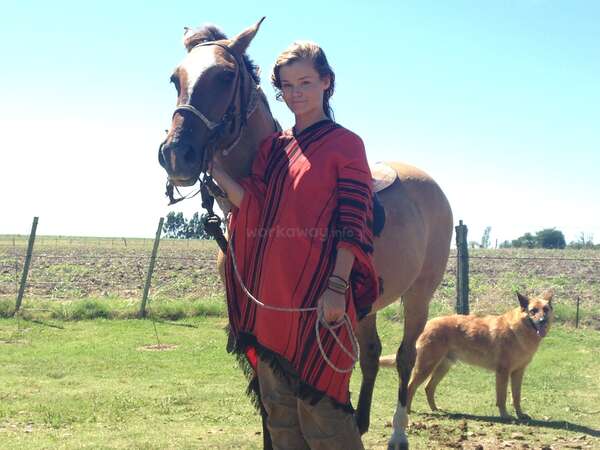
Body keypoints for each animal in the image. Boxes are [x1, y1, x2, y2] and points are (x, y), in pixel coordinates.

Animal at [157, 18, 452, 450]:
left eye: (225, 76)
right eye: (175, 78)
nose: (177, 154)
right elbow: (266, 393)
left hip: (418, 296)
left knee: (403, 358)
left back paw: (398, 432)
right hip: (365, 305)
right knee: (370, 353)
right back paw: (361, 421)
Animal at [382, 290, 556, 420]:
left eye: (545, 310)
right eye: (533, 311)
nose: (542, 321)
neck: (519, 330)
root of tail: (429, 323)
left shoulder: (518, 373)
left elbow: (516, 397)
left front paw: (520, 415)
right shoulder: (503, 373)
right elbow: (502, 398)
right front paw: (505, 416)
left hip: (442, 368)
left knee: (428, 388)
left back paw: (436, 409)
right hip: (426, 367)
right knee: (411, 387)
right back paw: (408, 412)